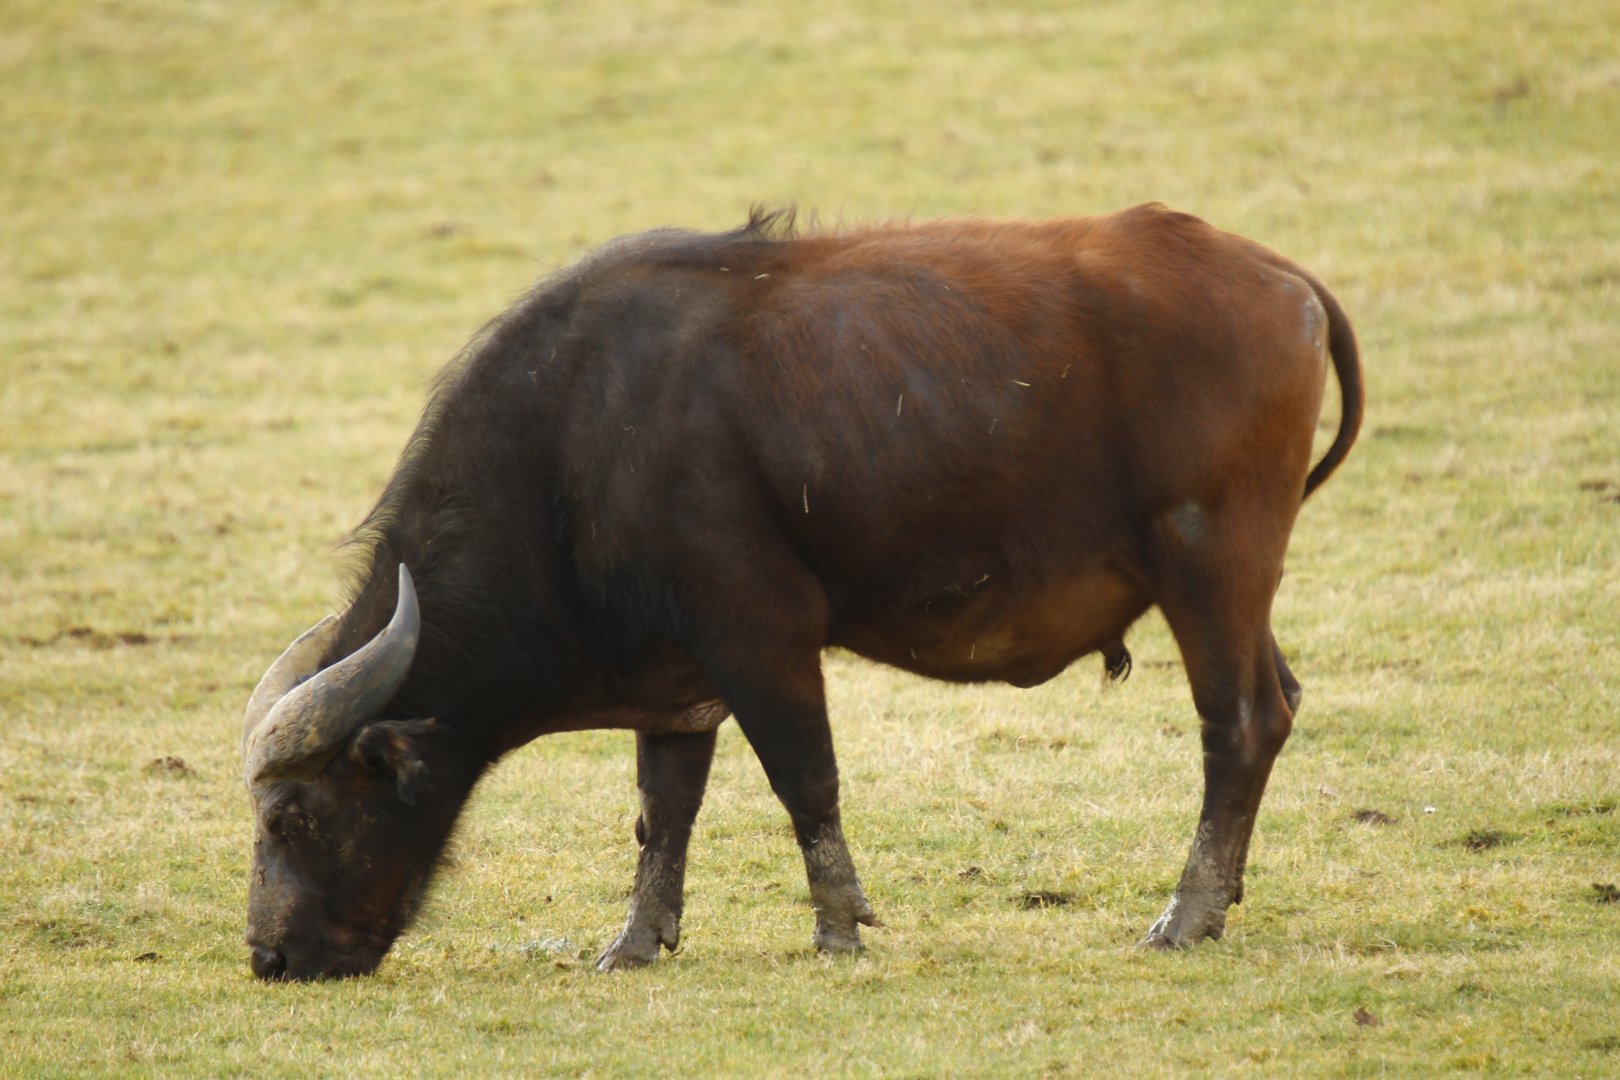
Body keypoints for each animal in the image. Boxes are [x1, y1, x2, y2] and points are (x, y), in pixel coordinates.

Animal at [242, 203, 1362, 980]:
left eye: (290, 818)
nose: (270, 957)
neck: (580, 441)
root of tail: (1279, 278)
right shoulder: (676, 678)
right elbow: (662, 810)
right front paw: (636, 941)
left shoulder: (760, 638)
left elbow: (804, 781)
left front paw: (838, 931)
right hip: (1235, 585)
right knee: (1279, 702)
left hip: (1210, 564)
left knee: (1240, 722)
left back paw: (1187, 913)